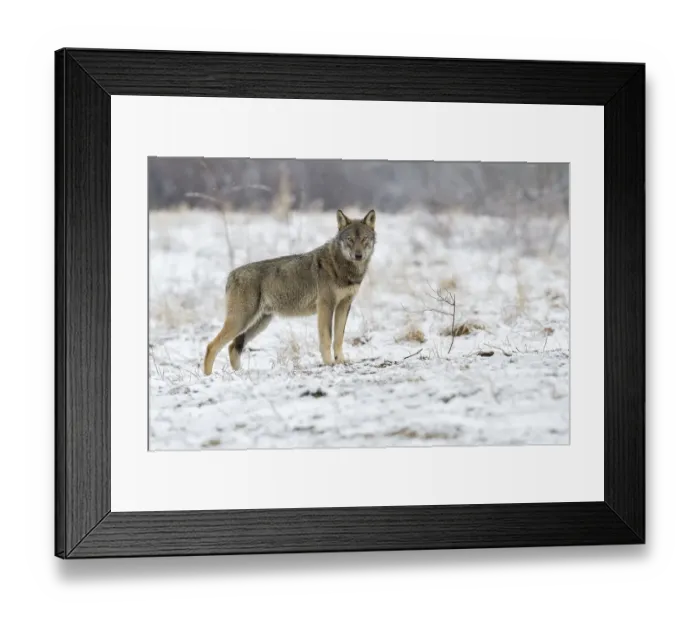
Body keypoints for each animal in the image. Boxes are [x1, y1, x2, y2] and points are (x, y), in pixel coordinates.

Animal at [203, 209, 377, 375]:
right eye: (350, 240)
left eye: (364, 239)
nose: (358, 255)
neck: (342, 267)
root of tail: (231, 274)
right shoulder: (326, 306)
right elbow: (327, 338)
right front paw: (329, 363)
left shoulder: (344, 306)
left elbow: (339, 338)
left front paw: (341, 361)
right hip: (241, 321)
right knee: (212, 346)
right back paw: (208, 376)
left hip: (259, 323)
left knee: (233, 347)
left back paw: (240, 373)